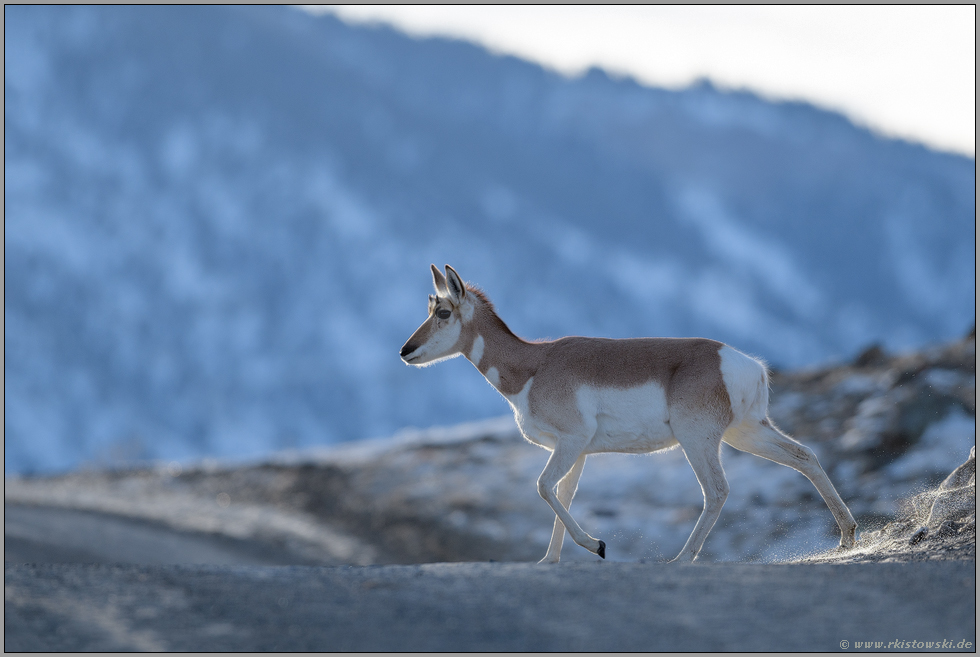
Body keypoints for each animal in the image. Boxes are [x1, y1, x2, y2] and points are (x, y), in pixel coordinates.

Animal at [398, 264, 856, 560]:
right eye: (429, 308)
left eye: (443, 312)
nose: (405, 351)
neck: (534, 364)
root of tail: (744, 363)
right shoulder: (578, 452)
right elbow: (562, 493)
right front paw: (549, 562)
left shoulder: (571, 442)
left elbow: (543, 487)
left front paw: (597, 545)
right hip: (747, 432)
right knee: (804, 456)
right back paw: (847, 537)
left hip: (698, 440)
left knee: (717, 491)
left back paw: (679, 560)